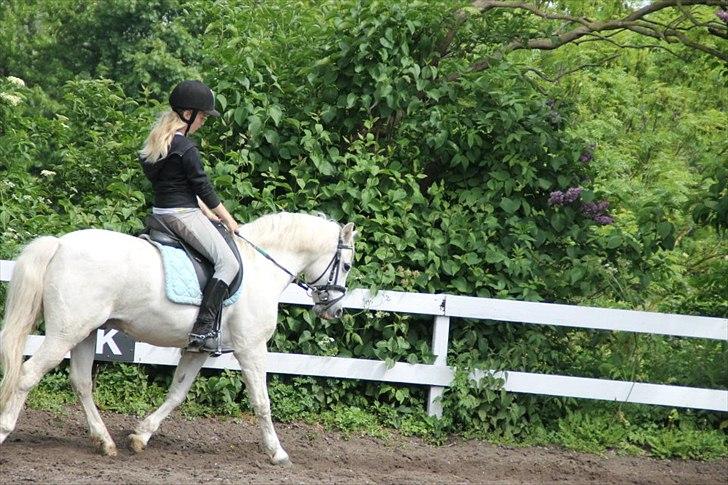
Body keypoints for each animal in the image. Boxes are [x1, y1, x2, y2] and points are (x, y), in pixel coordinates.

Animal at [0, 211, 357, 465]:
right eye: (347, 265)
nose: (336, 310)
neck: (261, 268)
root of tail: (60, 244)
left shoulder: (199, 349)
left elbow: (177, 393)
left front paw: (141, 436)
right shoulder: (252, 348)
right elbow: (262, 401)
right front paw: (277, 453)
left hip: (85, 333)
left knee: (82, 382)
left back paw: (105, 441)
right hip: (66, 332)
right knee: (28, 375)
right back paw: (5, 429)